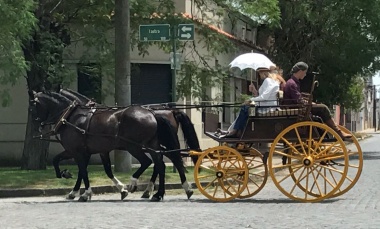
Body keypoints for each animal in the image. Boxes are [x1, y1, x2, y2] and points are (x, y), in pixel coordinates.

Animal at [30, 90, 177, 201]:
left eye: (33, 106)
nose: (36, 126)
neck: (71, 117)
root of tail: (152, 114)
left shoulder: (75, 151)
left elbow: (81, 170)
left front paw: (83, 192)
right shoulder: (91, 151)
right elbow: (98, 170)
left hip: (134, 147)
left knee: (147, 162)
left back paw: (134, 184)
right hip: (151, 146)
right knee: (160, 165)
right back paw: (157, 194)